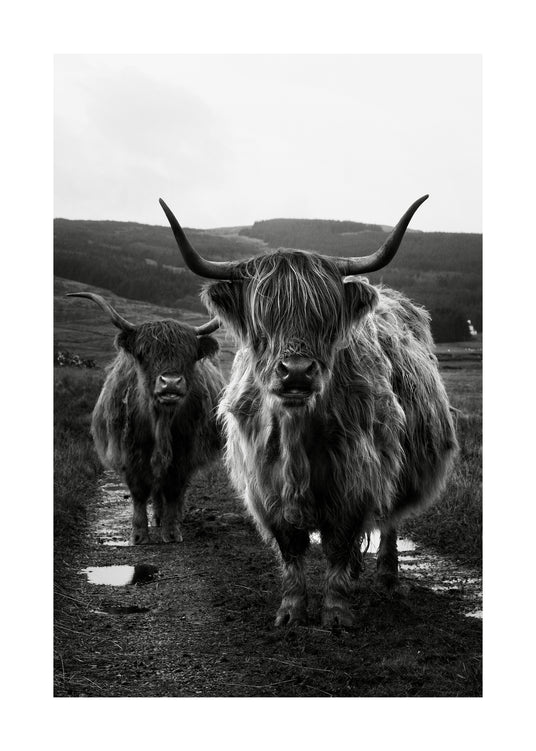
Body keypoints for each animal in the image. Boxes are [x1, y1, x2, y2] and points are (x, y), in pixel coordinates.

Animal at [67, 292, 225, 545]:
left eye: (189, 355)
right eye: (144, 354)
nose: (170, 383)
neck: (159, 421)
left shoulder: (184, 453)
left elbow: (174, 489)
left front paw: (172, 531)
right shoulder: (130, 453)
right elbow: (139, 492)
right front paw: (139, 534)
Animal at [159, 195, 458, 628]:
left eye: (326, 319)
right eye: (262, 321)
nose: (297, 371)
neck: (297, 432)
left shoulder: (356, 479)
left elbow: (337, 545)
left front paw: (335, 613)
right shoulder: (265, 486)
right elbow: (292, 548)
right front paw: (291, 611)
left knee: (390, 520)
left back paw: (387, 575)